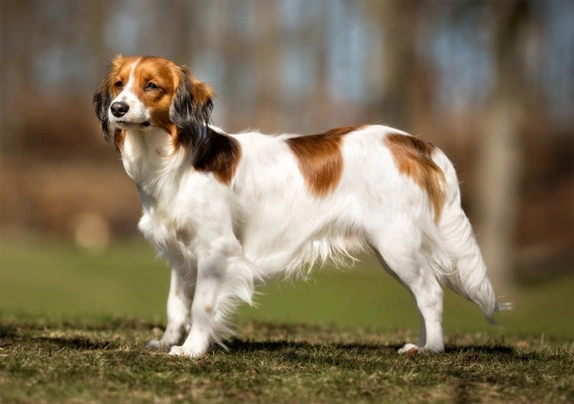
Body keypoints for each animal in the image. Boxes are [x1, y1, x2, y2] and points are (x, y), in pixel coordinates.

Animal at [94, 55, 512, 358]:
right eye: (119, 84)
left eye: (151, 86)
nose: (117, 108)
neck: (174, 159)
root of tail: (411, 142)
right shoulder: (182, 255)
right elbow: (176, 304)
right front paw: (167, 341)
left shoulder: (215, 249)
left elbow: (202, 307)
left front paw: (192, 350)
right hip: (394, 252)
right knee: (423, 293)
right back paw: (421, 344)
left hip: (397, 245)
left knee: (431, 293)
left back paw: (432, 350)